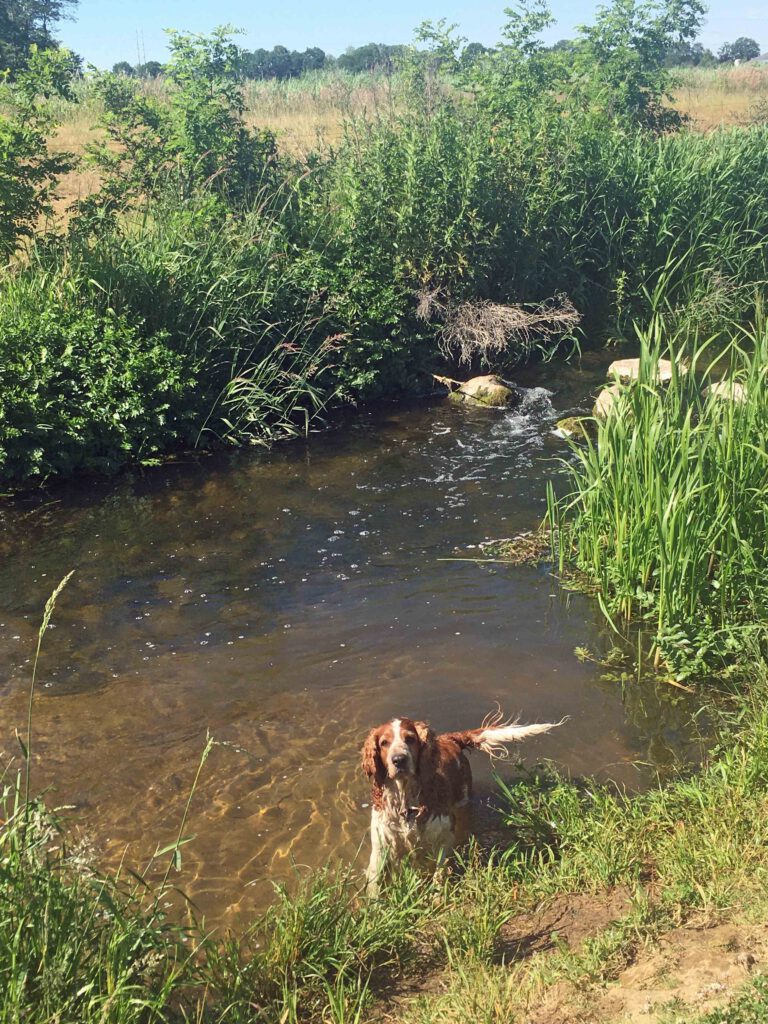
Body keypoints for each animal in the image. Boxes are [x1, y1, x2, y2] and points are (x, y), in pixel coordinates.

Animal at [360, 716, 565, 892]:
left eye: (410, 739)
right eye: (384, 743)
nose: (398, 760)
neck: (406, 803)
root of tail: (450, 738)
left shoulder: (444, 837)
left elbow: (440, 872)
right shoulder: (381, 847)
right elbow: (374, 884)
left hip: (463, 806)